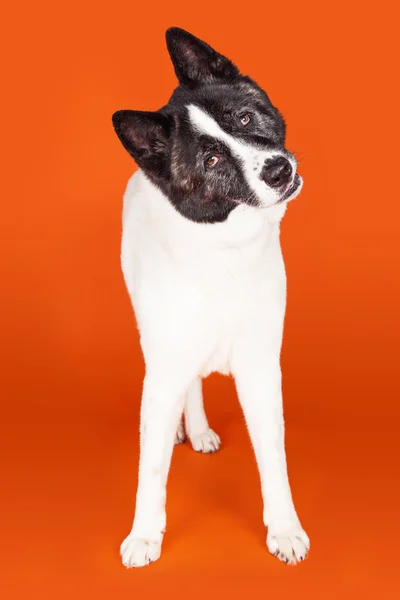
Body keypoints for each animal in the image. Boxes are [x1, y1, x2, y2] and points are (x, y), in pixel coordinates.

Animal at [111, 27, 310, 568]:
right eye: (212, 160)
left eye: (243, 117)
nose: (278, 170)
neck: (226, 251)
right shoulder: (161, 376)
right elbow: (151, 468)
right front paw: (144, 535)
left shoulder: (262, 370)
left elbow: (273, 456)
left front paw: (284, 528)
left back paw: (197, 429)